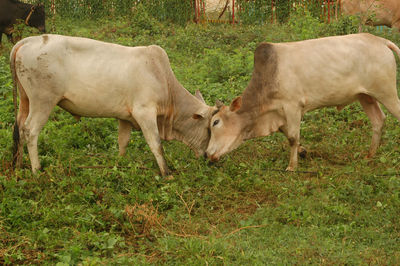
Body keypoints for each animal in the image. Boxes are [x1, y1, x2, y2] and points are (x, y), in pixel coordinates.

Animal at [10, 34, 216, 177]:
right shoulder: (144, 112)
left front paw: (119, 164)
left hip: (25, 100)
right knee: (30, 130)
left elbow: (122, 142)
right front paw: (167, 173)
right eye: (210, 128)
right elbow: (156, 144)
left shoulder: (125, 117)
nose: (209, 158)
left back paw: (18, 165)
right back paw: (36, 170)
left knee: (19, 127)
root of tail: (27, 41)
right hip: (43, 101)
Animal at [206, 33, 400, 170]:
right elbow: (288, 134)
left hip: (387, 93)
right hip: (365, 96)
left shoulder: (293, 106)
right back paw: (369, 155)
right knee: (378, 120)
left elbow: (292, 137)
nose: (207, 153)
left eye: (216, 122)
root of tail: (381, 41)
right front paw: (303, 151)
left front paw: (292, 166)